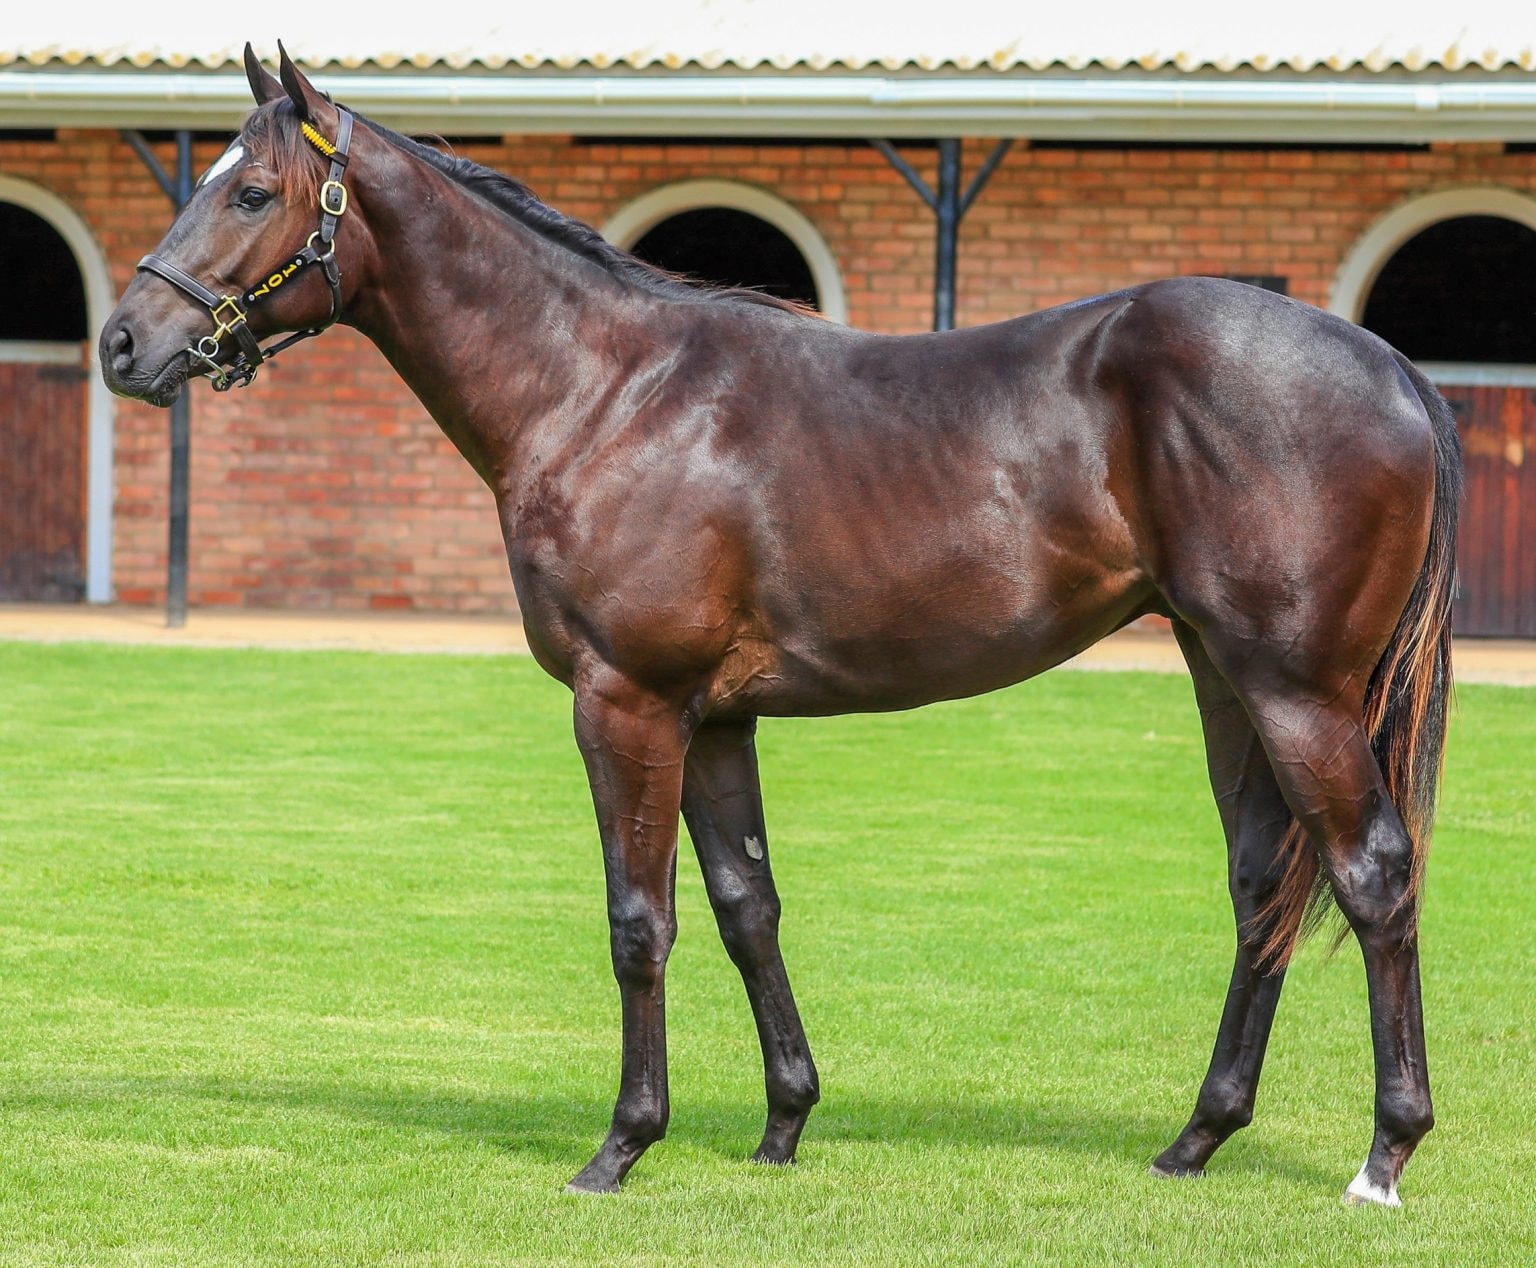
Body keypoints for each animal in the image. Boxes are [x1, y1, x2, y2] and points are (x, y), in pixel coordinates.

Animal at [100, 44, 1460, 1204]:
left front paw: (621, 1145)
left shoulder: (627, 700)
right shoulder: (714, 719)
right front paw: (783, 1124)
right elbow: (746, 906)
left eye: (252, 191)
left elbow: (639, 922)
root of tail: (1390, 364)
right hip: (1224, 672)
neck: (604, 391)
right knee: (1265, 881)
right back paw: (1196, 1137)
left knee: (1372, 874)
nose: (123, 344)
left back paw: (1385, 1156)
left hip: (1297, 689)